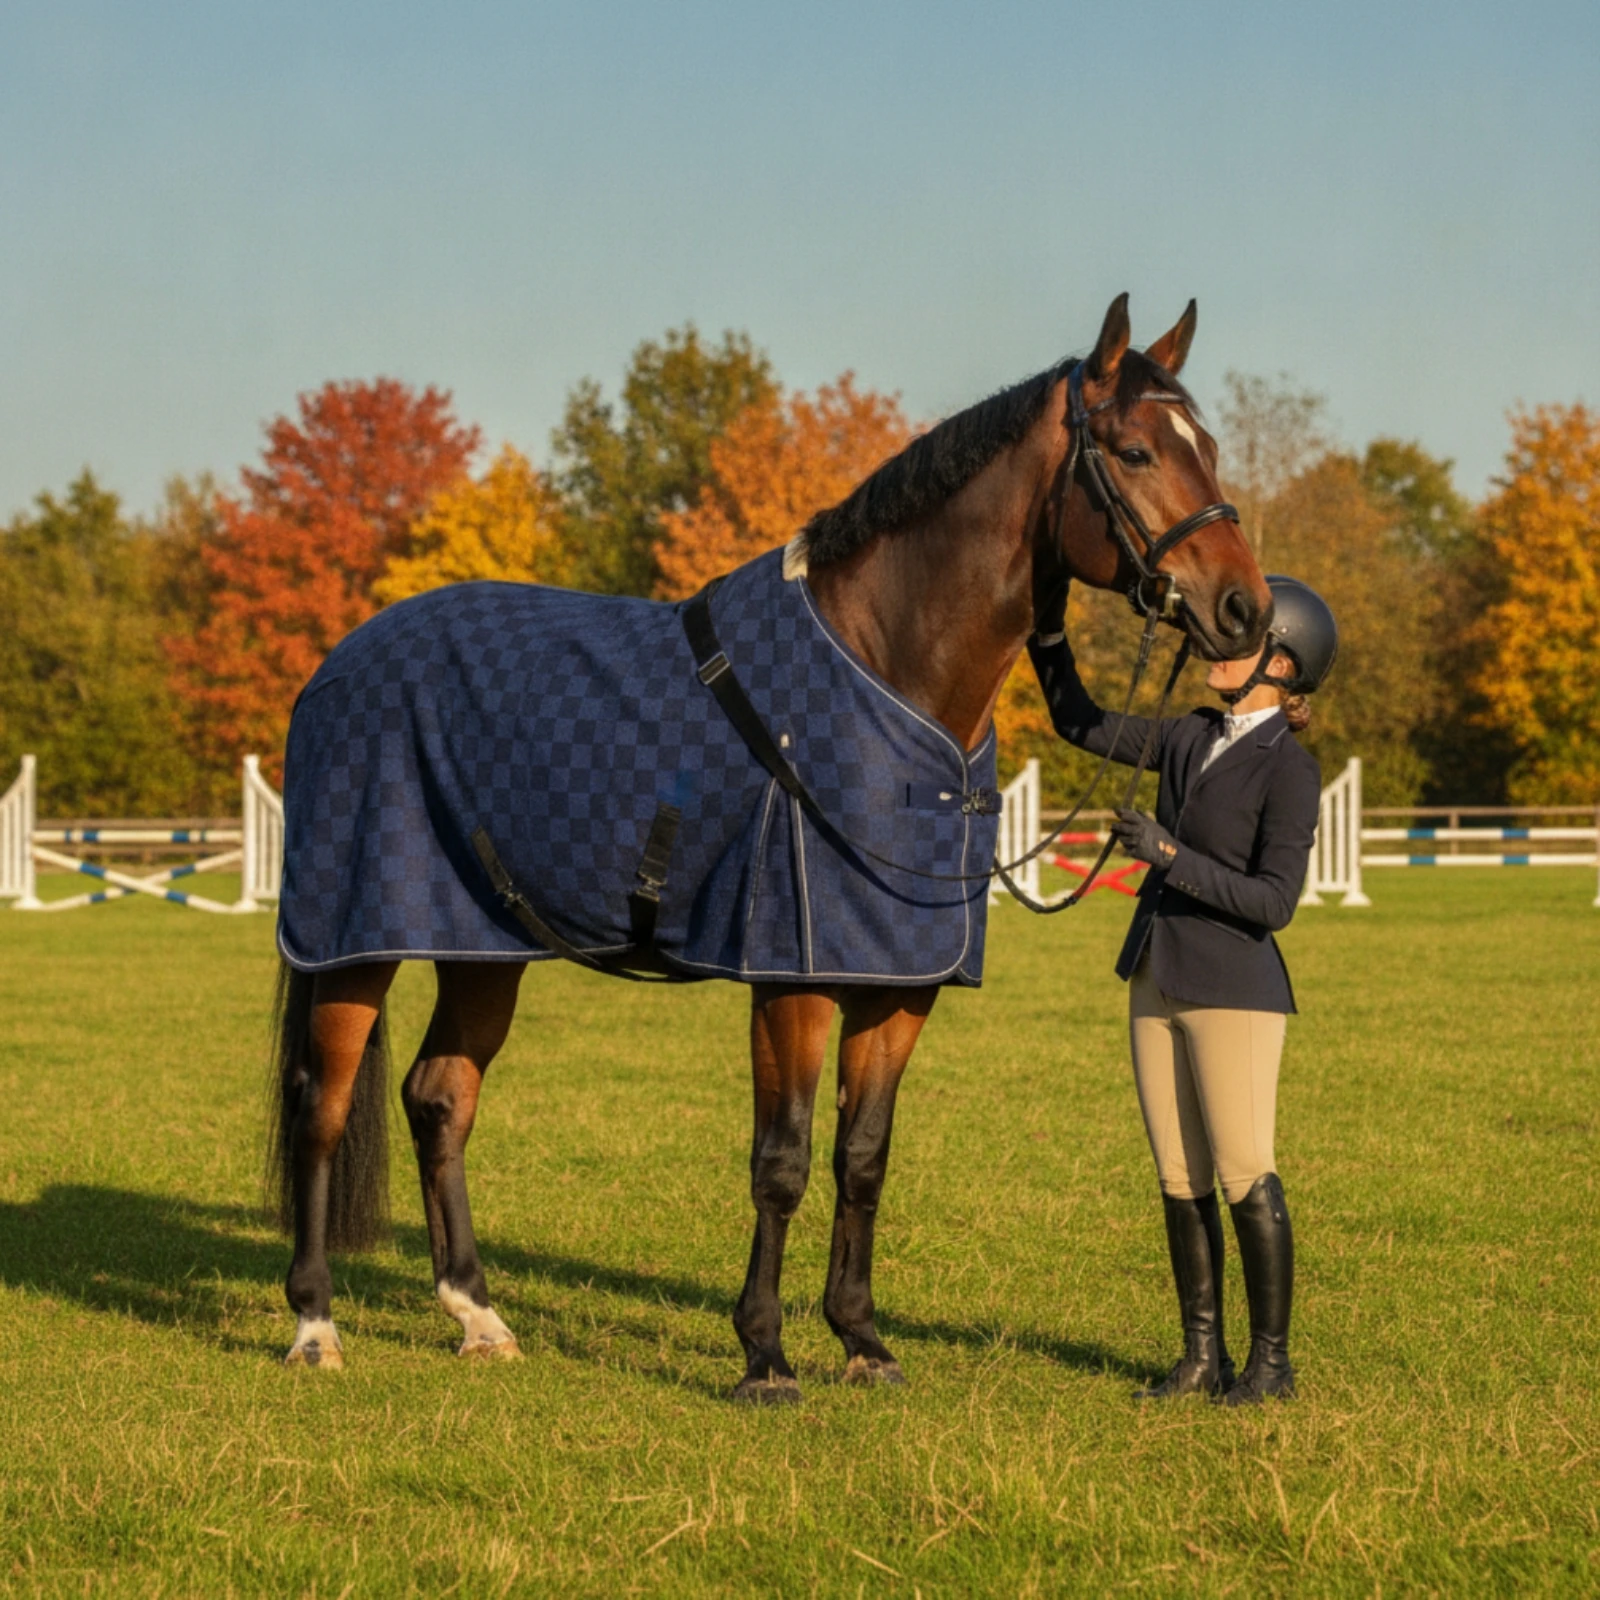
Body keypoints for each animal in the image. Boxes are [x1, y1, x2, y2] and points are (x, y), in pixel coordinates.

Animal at [266, 294, 1271, 1401]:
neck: (886, 669)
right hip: (355, 940)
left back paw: (477, 1315)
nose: (1244, 608)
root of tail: (342, 663)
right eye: (1135, 451)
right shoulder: (793, 977)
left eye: (1207, 447)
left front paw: (862, 1339)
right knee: (322, 1108)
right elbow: (781, 1159)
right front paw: (764, 1355)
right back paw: (315, 1325)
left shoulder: (897, 985)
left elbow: (862, 1155)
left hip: (484, 948)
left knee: (440, 1099)